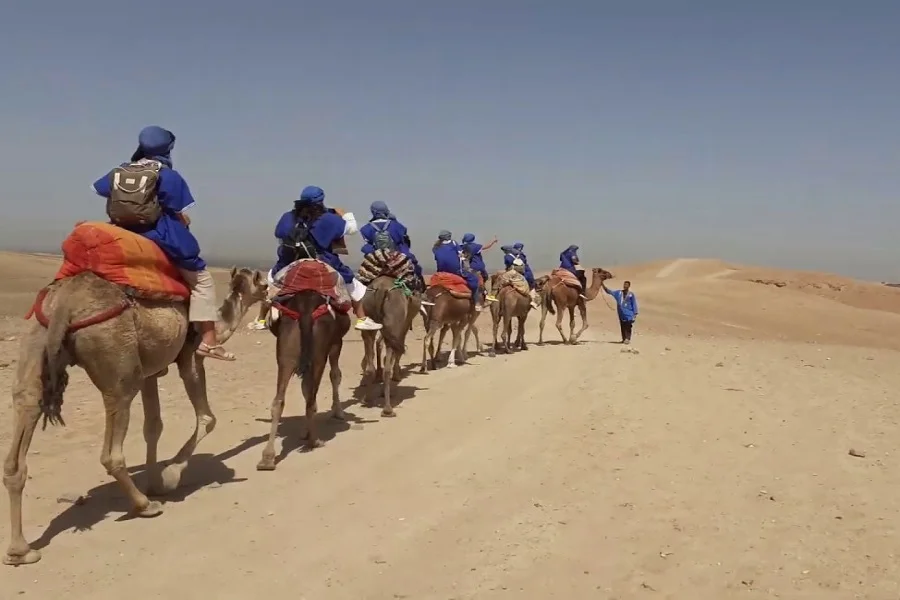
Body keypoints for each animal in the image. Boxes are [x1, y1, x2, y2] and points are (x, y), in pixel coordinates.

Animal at [5, 268, 268, 568]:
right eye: (263, 284)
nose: (272, 294)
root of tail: (64, 302)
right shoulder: (190, 357)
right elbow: (207, 418)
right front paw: (169, 476)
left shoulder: (150, 373)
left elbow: (153, 425)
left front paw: (155, 482)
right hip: (117, 361)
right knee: (112, 448)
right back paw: (144, 505)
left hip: (36, 342)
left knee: (24, 415)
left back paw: (20, 551)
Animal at [256, 288, 352, 472]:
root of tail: (305, 308)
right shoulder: (336, 343)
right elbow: (335, 375)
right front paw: (338, 412)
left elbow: (305, 388)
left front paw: (304, 431)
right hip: (319, 355)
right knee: (311, 398)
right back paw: (314, 441)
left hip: (286, 352)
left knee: (279, 400)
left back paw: (267, 458)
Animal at [358, 276, 422, 418]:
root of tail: (381, 289)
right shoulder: (403, 325)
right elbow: (398, 351)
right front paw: (397, 375)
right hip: (394, 322)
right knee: (387, 368)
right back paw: (388, 409)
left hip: (368, 320)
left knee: (370, 363)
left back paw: (367, 399)